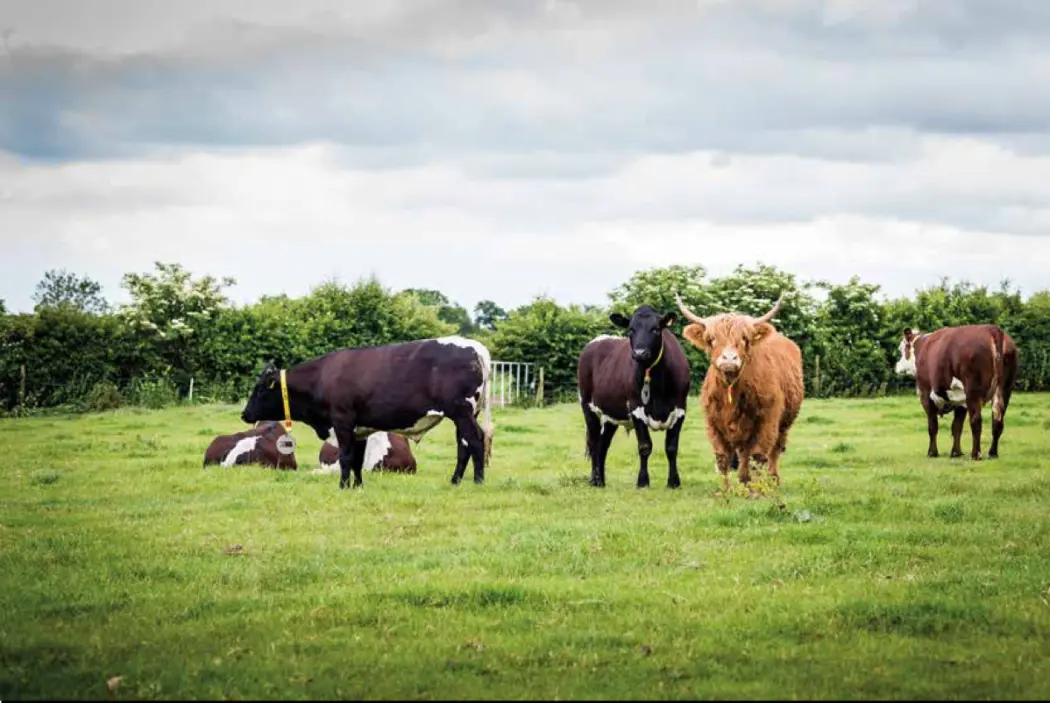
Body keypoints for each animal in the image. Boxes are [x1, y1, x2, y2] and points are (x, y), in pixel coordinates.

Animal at [240, 335, 493, 489]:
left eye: (260, 389)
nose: (244, 414)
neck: (322, 377)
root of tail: (476, 347)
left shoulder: (342, 421)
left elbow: (345, 457)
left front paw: (343, 486)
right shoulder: (359, 429)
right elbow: (357, 460)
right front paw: (357, 486)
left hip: (461, 412)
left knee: (476, 440)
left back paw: (478, 481)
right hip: (465, 415)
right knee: (464, 446)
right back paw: (455, 480)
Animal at [577, 306, 692, 489]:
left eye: (656, 329)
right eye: (631, 329)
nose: (639, 353)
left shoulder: (680, 410)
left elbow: (672, 447)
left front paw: (674, 482)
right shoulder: (636, 409)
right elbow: (645, 446)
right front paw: (643, 481)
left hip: (610, 415)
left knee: (603, 445)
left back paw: (601, 481)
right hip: (588, 406)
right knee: (594, 443)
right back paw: (595, 480)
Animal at [675, 293, 804, 489]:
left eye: (744, 338)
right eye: (711, 339)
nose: (729, 358)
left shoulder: (767, 420)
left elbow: (757, 457)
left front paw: (755, 491)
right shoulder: (713, 423)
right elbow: (723, 459)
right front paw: (726, 490)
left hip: (784, 422)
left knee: (774, 450)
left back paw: (772, 480)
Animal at [894, 325, 1018, 460]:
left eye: (901, 348)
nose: (897, 365)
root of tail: (991, 329)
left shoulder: (925, 394)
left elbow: (933, 426)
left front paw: (932, 452)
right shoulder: (960, 399)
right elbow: (957, 427)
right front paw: (955, 452)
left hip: (973, 391)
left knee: (976, 421)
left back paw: (976, 454)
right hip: (1005, 389)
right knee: (997, 422)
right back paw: (992, 453)